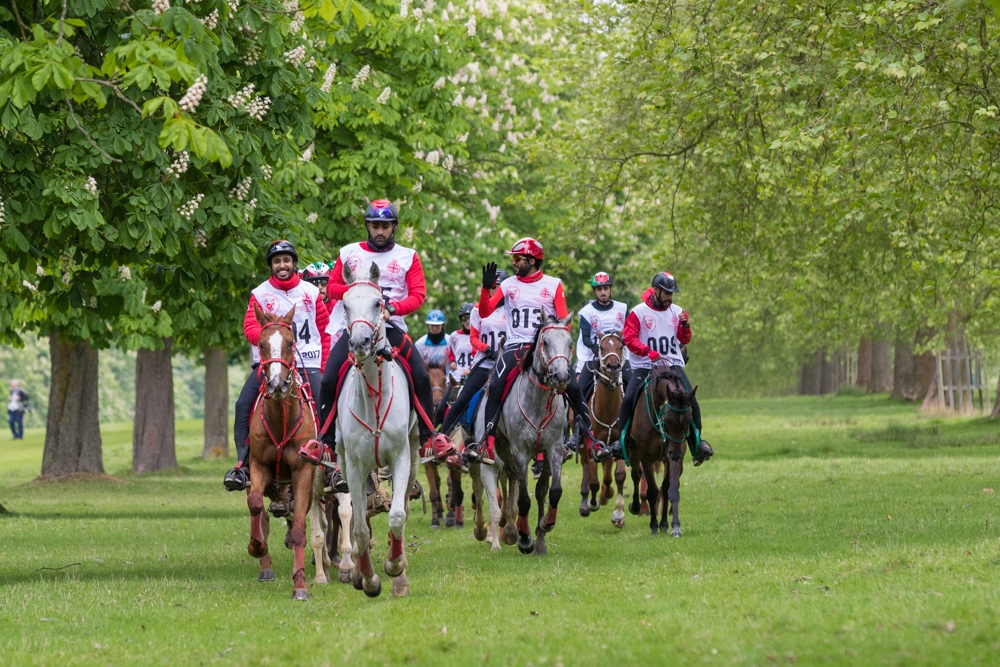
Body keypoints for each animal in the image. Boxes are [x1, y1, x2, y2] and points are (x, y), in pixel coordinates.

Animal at [466, 314, 572, 560]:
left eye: (570, 343)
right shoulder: (520, 453)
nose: (561, 376)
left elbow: (553, 492)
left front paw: (545, 525)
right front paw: (524, 540)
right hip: (493, 457)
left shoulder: (553, 449)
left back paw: (533, 538)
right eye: (545, 343)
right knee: (486, 489)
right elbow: (523, 499)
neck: (537, 402)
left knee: (539, 491)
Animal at [624, 366, 696, 536]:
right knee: (636, 475)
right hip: (634, 452)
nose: (675, 453)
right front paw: (654, 526)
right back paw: (635, 507)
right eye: (667, 418)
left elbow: (668, 489)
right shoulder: (646, 456)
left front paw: (671, 525)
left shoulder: (672, 456)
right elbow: (652, 491)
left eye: (689, 419)